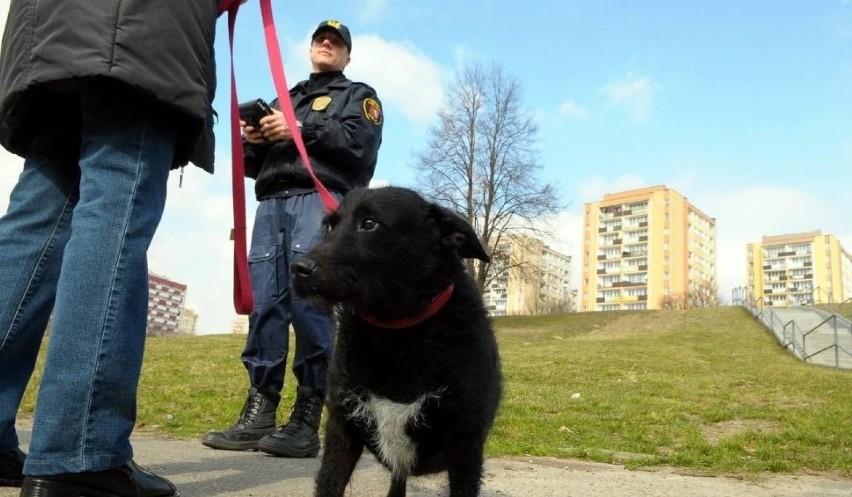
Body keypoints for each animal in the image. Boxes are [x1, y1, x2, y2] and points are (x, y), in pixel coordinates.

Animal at [292, 187, 502, 496]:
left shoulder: (465, 443)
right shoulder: (342, 427)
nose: (298, 268)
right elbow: (330, 482)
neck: (396, 332)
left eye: (369, 223)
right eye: (330, 225)